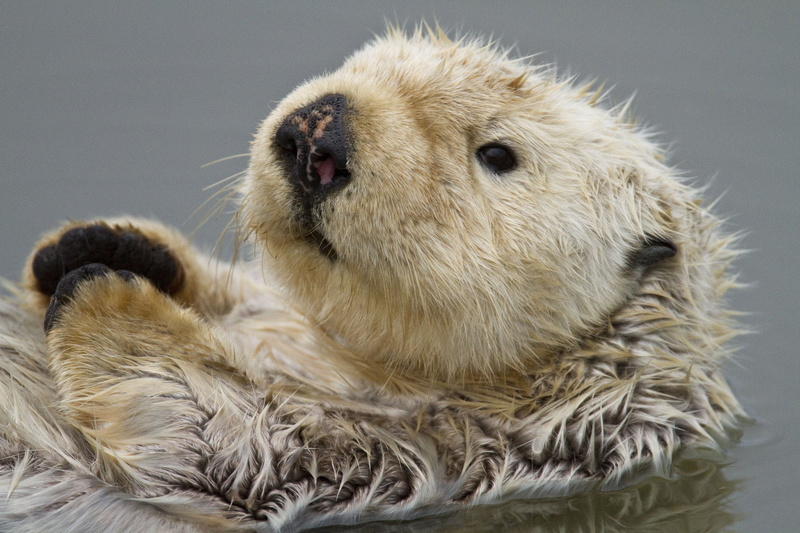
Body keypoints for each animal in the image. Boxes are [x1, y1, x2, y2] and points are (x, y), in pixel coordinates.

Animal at [0, 27, 744, 532]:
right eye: (358, 69)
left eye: (498, 153)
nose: (316, 133)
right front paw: (98, 243)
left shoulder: (421, 454)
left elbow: (217, 437)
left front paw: (107, 292)